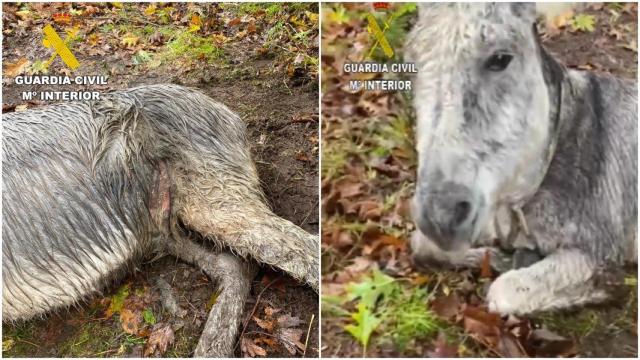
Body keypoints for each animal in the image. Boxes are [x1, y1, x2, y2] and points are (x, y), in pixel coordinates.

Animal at [408, 2, 636, 314]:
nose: (440, 218)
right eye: (412, 62)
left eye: (500, 59)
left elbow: (504, 291)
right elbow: (422, 244)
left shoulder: (598, 248)